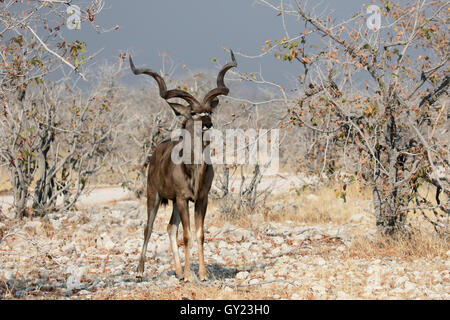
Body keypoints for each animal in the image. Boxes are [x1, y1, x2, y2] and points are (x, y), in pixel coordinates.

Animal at [129, 50, 237, 280]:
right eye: (193, 113)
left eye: (208, 112)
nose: (208, 124)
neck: (193, 170)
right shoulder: (181, 198)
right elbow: (187, 235)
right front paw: (189, 275)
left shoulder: (200, 199)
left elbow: (199, 234)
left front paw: (201, 274)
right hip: (154, 195)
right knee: (148, 227)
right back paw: (140, 272)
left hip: (175, 203)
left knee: (170, 227)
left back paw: (177, 272)